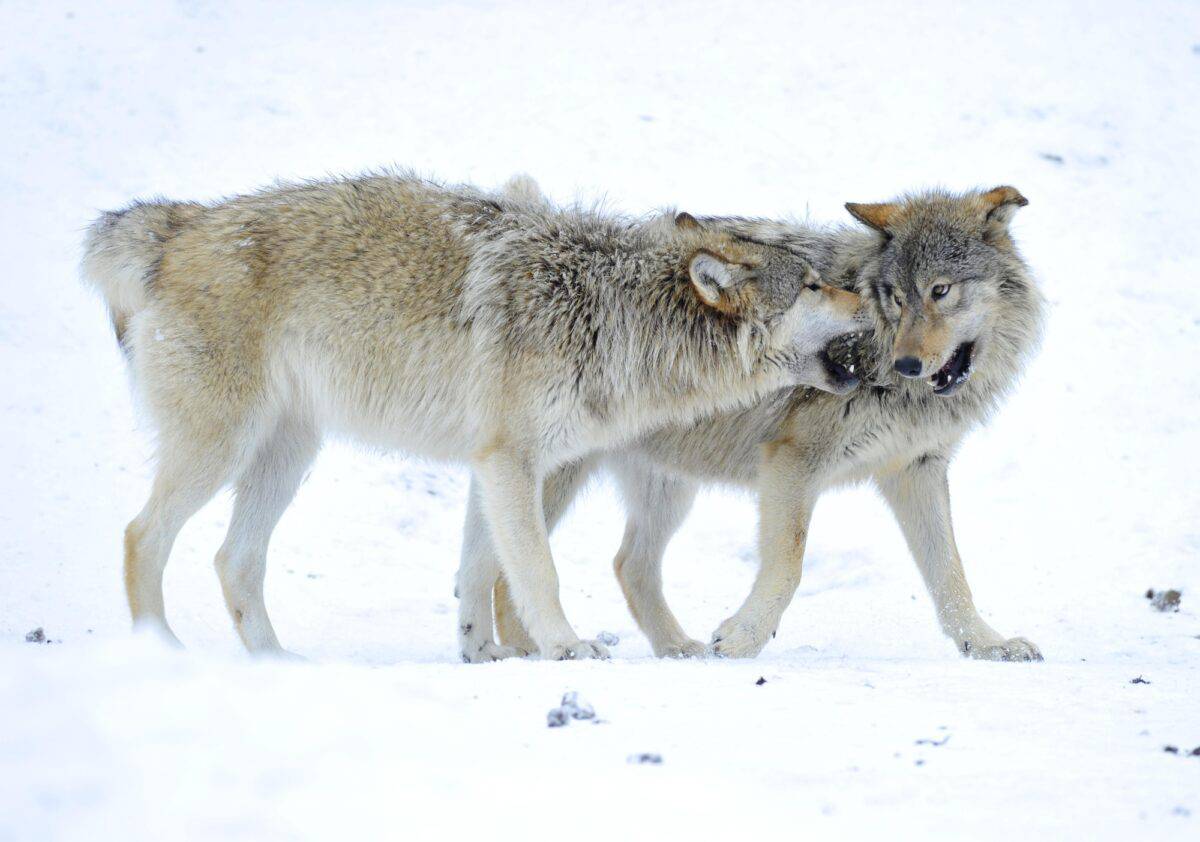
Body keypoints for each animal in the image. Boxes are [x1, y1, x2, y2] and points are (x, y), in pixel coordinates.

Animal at [82, 170, 865, 661]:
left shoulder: (495, 466)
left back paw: (276, 663)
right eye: (814, 285)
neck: (609, 315)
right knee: (139, 536)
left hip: (287, 456)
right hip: (222, 448)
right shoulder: (510, 462)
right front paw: (566, 646)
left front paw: (481, 652)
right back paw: (161, 652)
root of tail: (179, 223)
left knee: (233, 559)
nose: (869, 294)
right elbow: (536, 571)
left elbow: (480, 567)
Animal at [465, 184, 1046, 661]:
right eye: (897, 297)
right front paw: (743, 638)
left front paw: (985, 644)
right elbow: (788, 564)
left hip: (670, 489)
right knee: (509, 569)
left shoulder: (917, 469)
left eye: (940, 291)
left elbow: (951, 574)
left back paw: (677, 650)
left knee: (628, 564)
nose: (907, 364)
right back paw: (536, 651)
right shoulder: (792, 460)